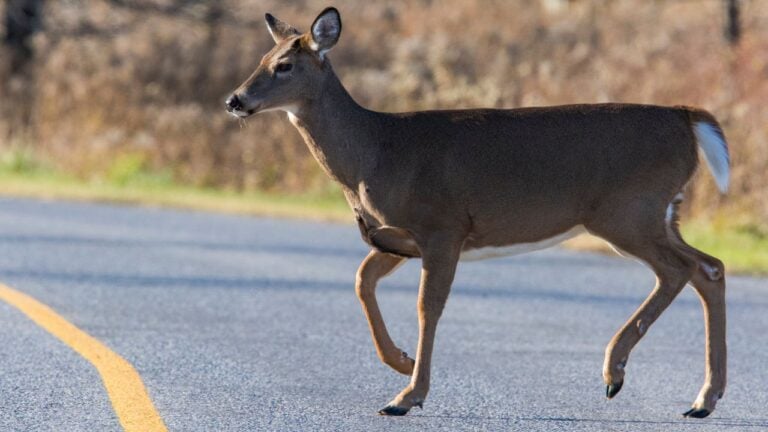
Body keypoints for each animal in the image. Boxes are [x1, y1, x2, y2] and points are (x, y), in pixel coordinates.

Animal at [225, 7, 729, 418]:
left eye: (284, 66)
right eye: (261, 59)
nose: (234, 100)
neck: (376, 151)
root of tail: (686, 117)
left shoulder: (442, 226)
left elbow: (428, 307)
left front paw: (407, 396)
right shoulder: (398, 237)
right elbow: (362, 280)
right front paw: (401, 362)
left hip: (626, 211)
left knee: (678, 270)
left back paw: (615, 373)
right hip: (660, 214)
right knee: (710, 268)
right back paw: (703, 399)